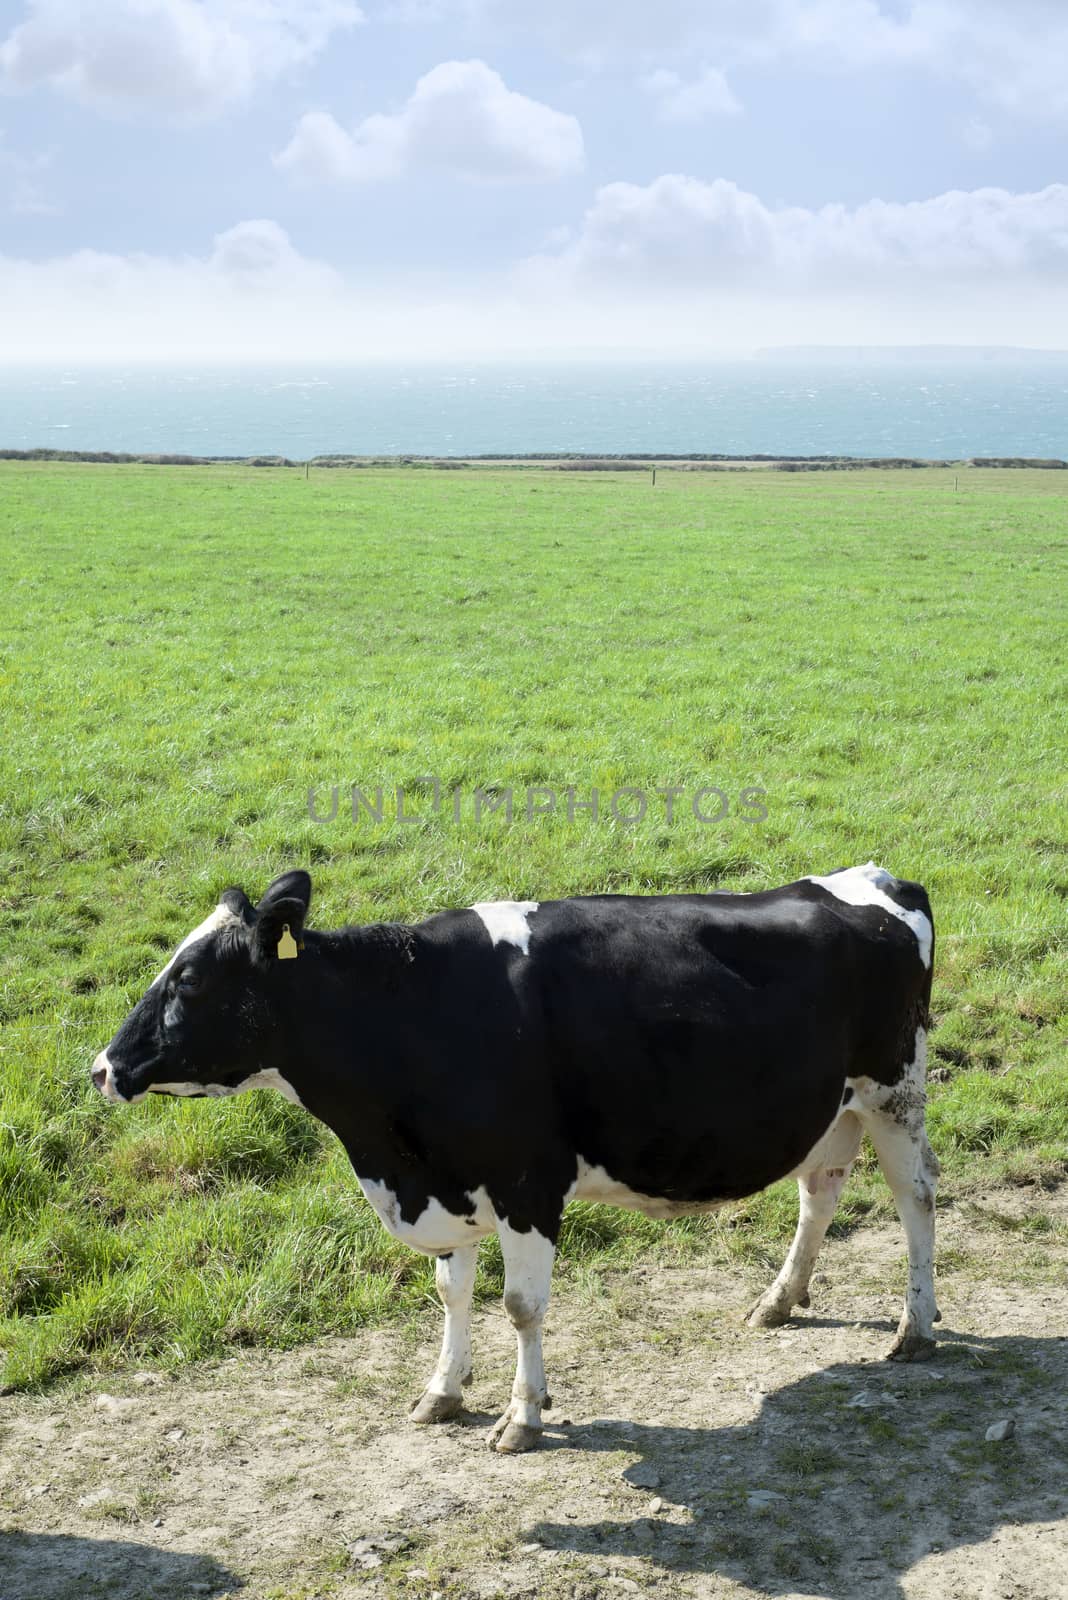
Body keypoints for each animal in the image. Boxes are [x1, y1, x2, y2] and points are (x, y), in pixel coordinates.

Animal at [95, 870, 940, 1459]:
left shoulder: (527, 1183)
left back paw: (915, 1327)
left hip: (894, 1091)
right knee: (819, 1193)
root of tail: (872, 880)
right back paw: (779, 1299)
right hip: (833, 1109)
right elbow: (450, 1292)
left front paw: (523, 1416)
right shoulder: (450, 1180)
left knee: (917, 1199)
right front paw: (442, 1391)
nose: (104, 1068)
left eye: (190, 980)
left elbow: (521, 1307)